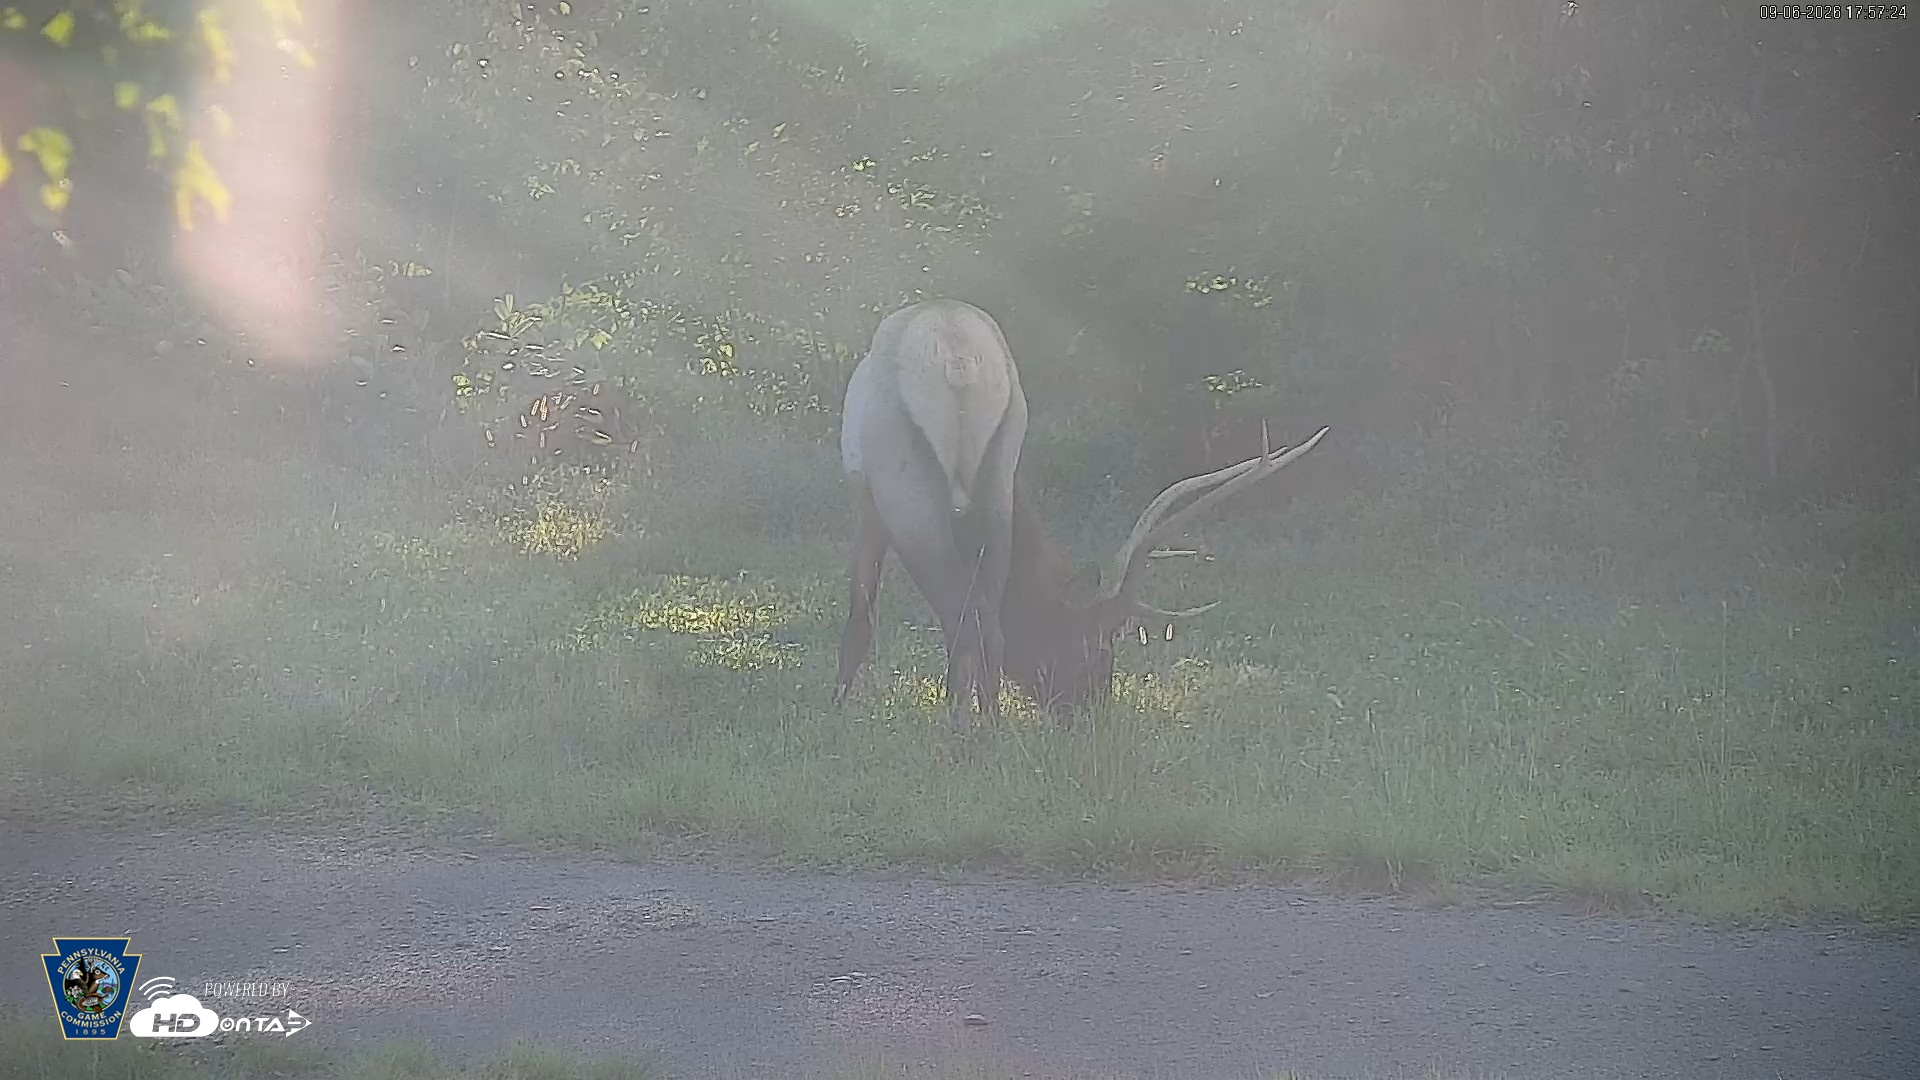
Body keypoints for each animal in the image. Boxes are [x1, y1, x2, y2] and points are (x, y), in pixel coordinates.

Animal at [834, 298, 1329, 728]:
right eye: (1090, 642)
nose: (1091, 709)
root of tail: (959, 360)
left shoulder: (868, 501)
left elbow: (861, 613)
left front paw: (837, 707)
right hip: (998, 468)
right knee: (987, 619)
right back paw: (988, 725)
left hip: (906, 483)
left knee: (959, 616)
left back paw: (961, 732)